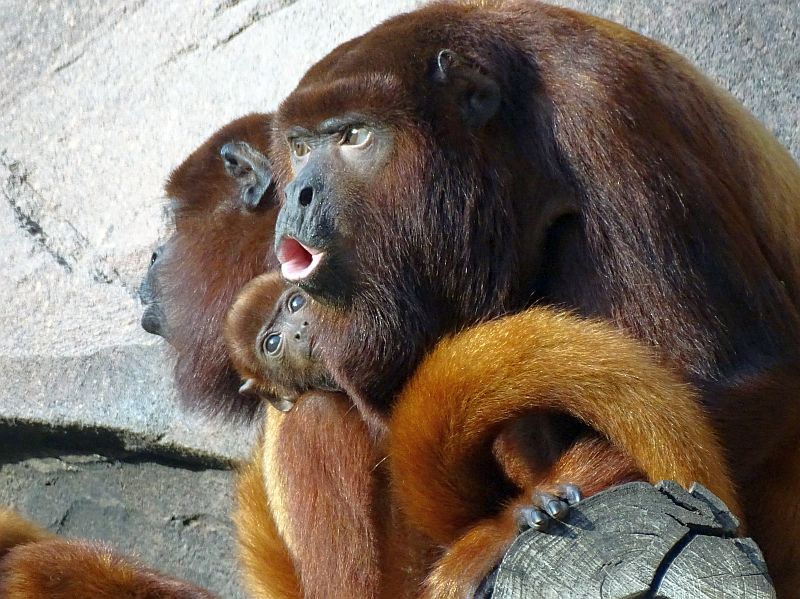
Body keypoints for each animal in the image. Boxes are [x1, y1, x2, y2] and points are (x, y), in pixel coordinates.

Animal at [269, 0, 800, 594]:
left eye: (354, 135)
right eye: (299, 146)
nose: (297, 194)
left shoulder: (605, 109)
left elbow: (743, 377)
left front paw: (497, 533)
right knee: (315, 410)